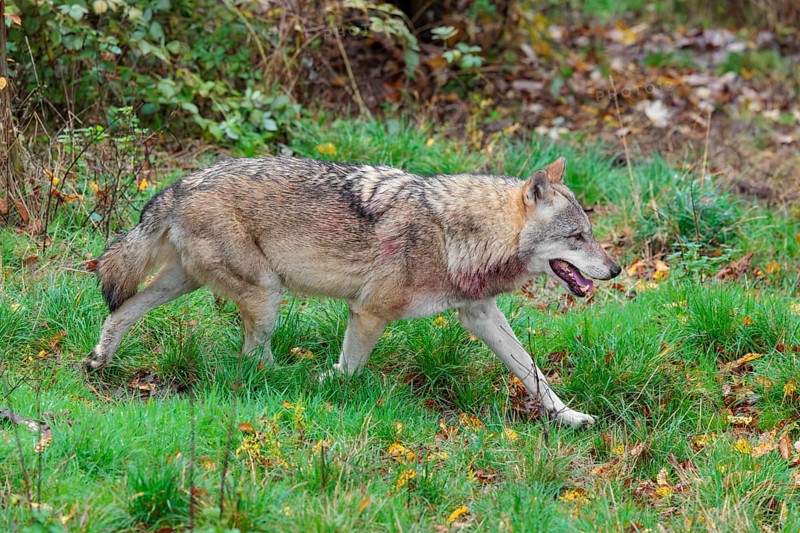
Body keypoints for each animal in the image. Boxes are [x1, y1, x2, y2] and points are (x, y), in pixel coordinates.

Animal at [87, 155, 620, 427]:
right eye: (577, 237)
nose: (615, 269)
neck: (456, 234)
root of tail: (177, 186)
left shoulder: (480, 314)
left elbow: (532, 371)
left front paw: (570, 416)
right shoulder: (368, 311)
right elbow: (347, 372)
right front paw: (326, 386)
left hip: (187, 283)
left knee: (122, 309)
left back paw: (98, 360)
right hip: (267, 295)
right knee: (254, 359)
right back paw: (290, 379)